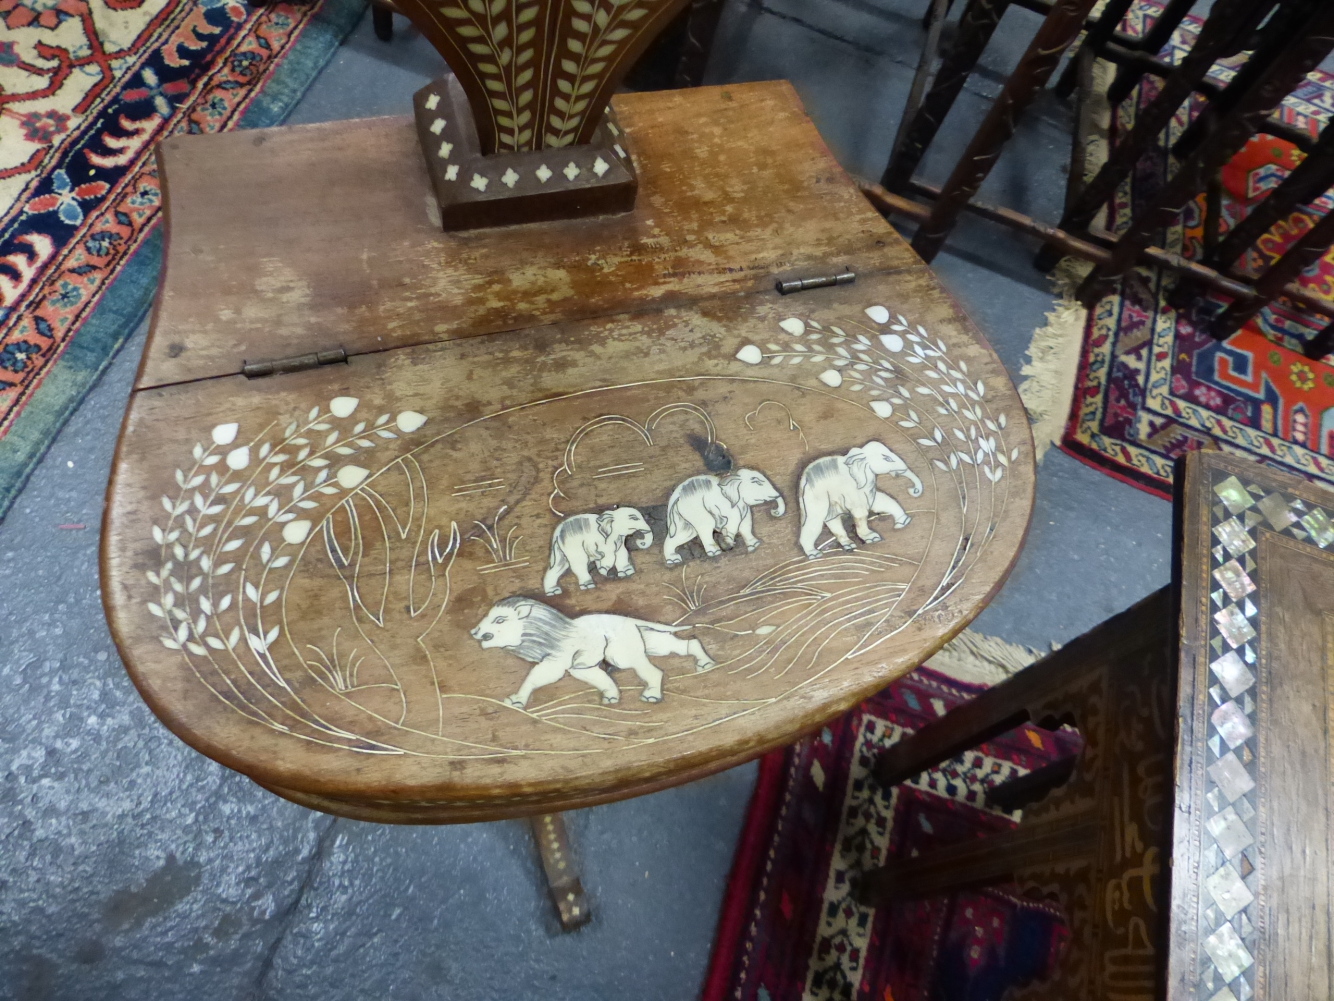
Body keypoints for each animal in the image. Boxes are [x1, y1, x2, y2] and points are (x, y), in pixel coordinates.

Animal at [795, 443, 923, 560]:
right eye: (887, 459)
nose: (913, 490)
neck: (860, 454)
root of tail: (803, 480)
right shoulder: (852, 488)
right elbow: (861, 512)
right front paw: (873, 538)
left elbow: (879, 501)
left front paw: (903, 523)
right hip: (815, 496)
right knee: (815, 521)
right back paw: (814, 554)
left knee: (831, 519)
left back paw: (849, 545)